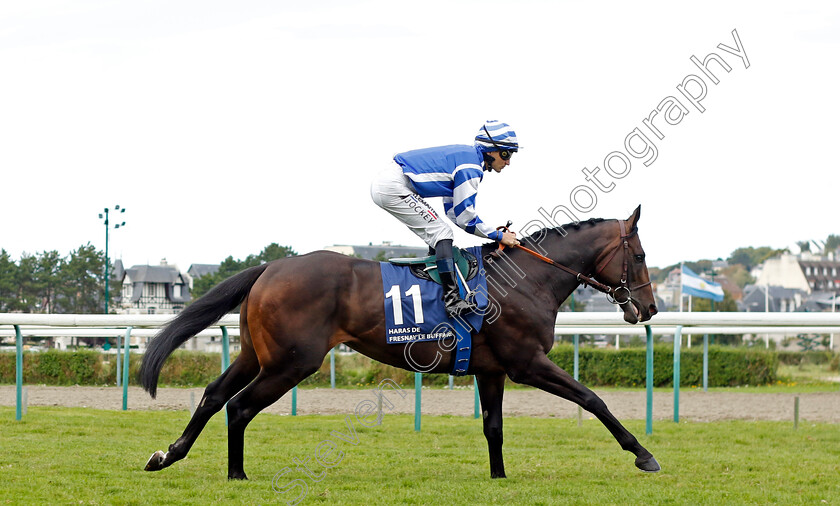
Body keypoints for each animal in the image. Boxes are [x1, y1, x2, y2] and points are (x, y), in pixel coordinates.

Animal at [139, 207, 664, 482]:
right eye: (639, 255)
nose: (650, 308)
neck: (527, 279)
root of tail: (270, 267)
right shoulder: (527, 363)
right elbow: (592, 399)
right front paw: (642, 453)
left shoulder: (492, 370)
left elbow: (493, 427)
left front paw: (498, 477)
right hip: (292, 363)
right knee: (240, 406)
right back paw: (236, 474)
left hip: (256, 355)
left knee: (214, 396)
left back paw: (168, 454)